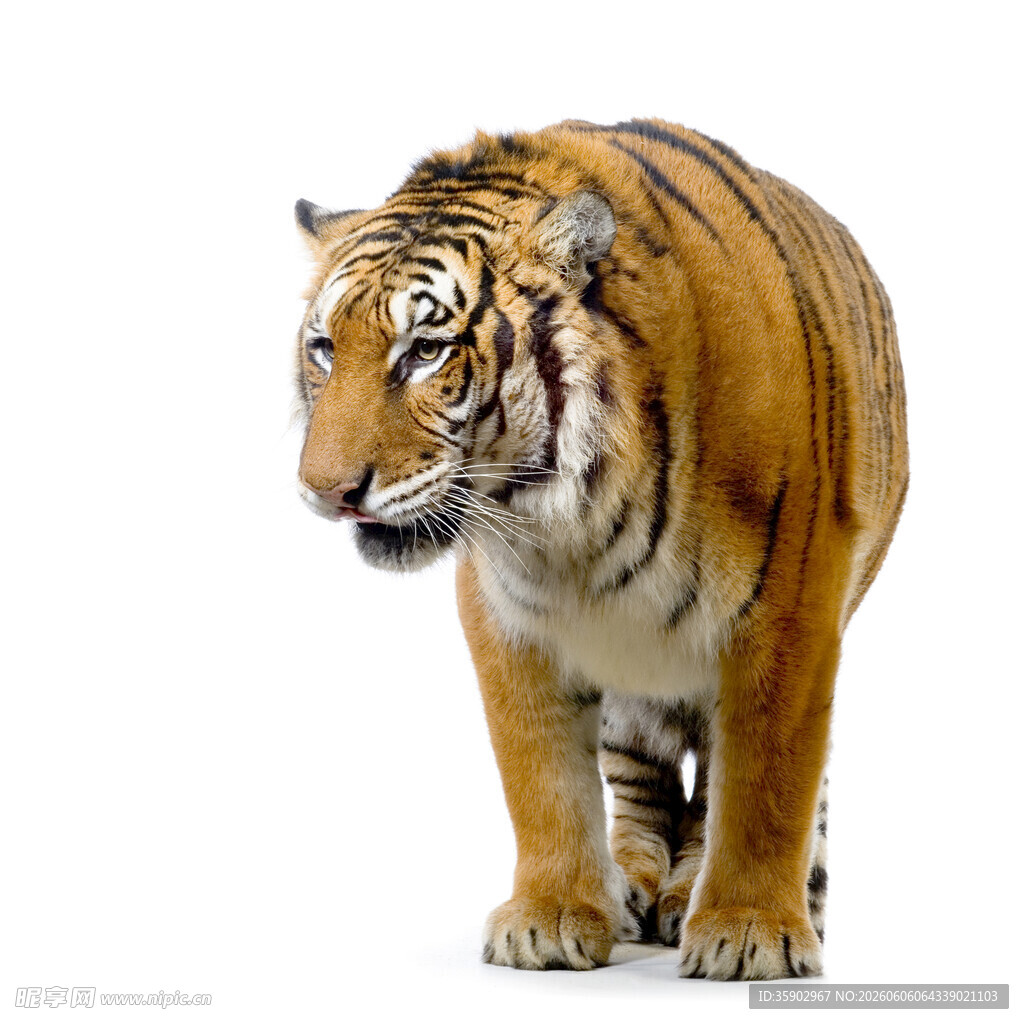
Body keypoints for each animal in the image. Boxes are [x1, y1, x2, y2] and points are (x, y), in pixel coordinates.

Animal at [291, 118, 908, 980]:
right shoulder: (507, 615)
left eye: (425, 351)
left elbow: (768, 780)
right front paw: (551, 918)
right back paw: (640, 889)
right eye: (323, 348)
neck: (570, 518)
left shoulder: (791, 611)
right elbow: (541, 772)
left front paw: (750, 932)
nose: (325, 490)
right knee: (644, 777)